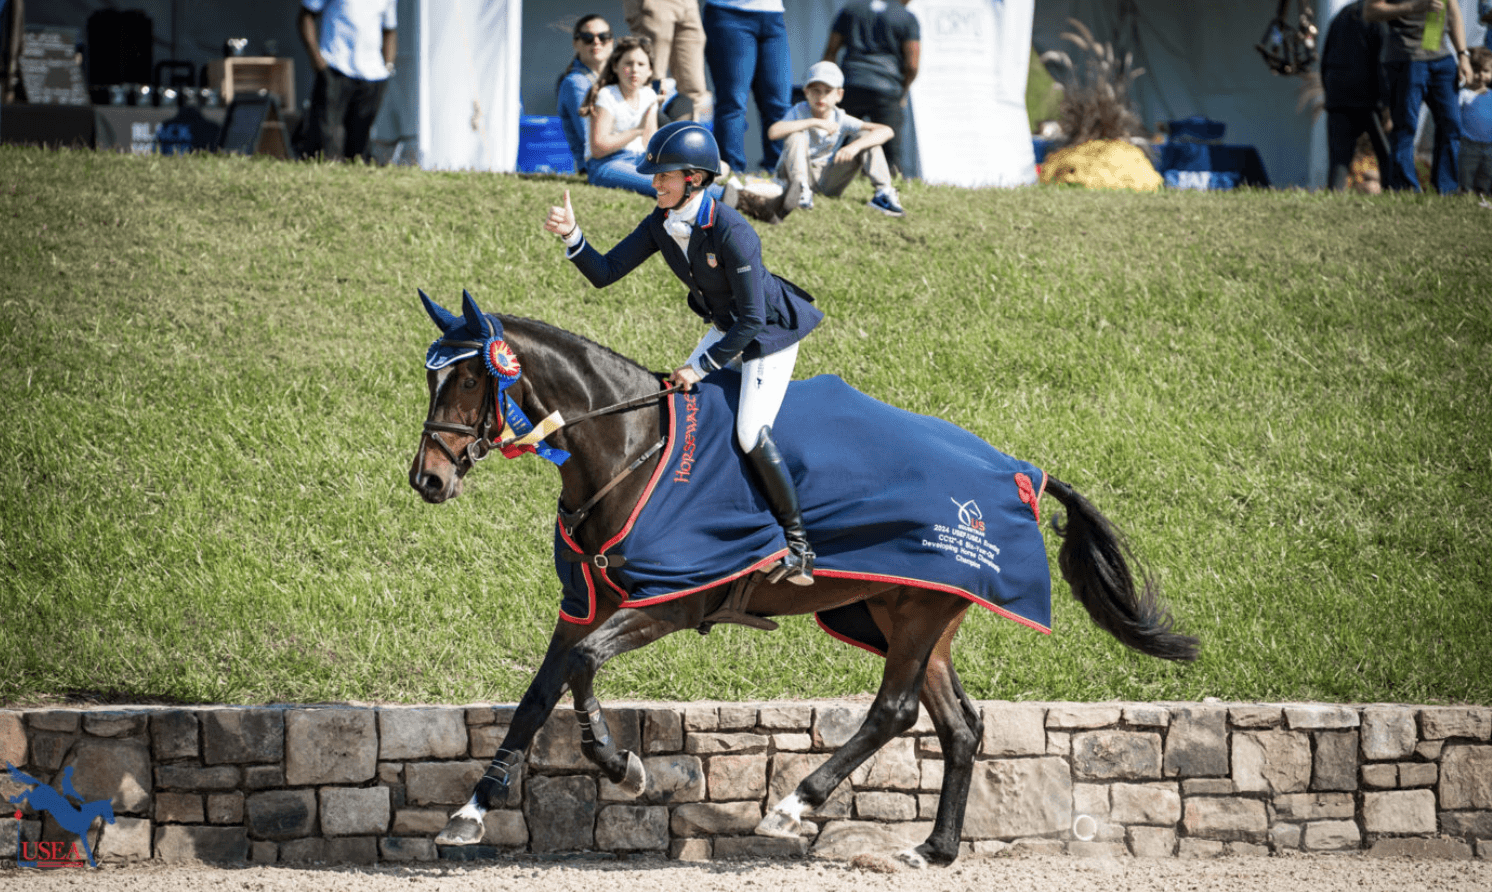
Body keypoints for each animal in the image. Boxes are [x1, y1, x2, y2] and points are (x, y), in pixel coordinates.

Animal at [411, 292, 1199, 865]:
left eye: (474, 376)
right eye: (430, 375)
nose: (428, 480)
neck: (630, 451)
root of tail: (1018, 473)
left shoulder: (670, 602)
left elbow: (581, 666)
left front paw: (619, 764)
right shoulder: (583, 604)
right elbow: (538, 695)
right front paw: (469, 813)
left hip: (916, 613)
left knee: (895, 711)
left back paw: (793, 806)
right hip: (907, 614)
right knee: (960, 725)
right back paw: (934, 850)